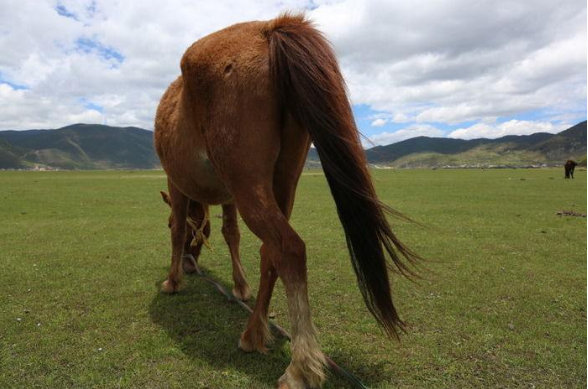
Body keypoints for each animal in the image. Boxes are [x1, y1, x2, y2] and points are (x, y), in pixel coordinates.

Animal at [153, 12, 418, 388]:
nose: (192, 266)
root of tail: (268, 29)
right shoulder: (228, 197)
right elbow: (231, 234)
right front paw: (240, 287)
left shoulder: (176, 184)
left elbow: (177, 230)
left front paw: (173, 281)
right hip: (281, 180)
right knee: (271, 251)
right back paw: (253, 333)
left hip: (248, 183)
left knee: (289, 248)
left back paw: (299, 365)